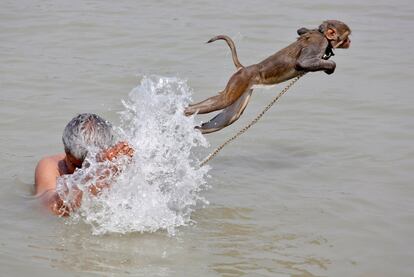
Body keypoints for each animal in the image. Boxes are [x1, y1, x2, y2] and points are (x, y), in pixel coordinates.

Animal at [186, 19, 350, 134]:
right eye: (347, 37)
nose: (349, 42)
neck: (323, 35)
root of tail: (244, 68)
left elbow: (301, 30)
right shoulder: (320, 42)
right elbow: (302, 63)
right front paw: (330, 65)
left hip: (243, 87)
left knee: (230, 116)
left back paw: (198, 128)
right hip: (239, 80)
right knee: (224, 101)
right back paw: (186, 111)